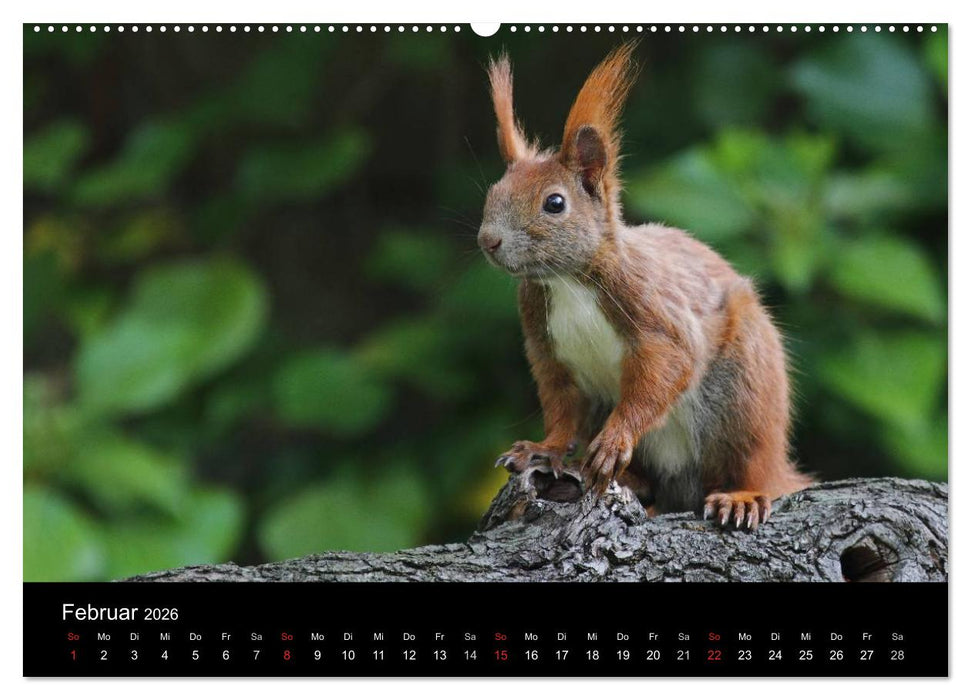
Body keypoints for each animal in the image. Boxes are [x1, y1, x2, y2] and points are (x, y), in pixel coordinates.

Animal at [477, 42, 812, 530]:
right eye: (493, 192)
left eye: (555, 203)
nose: (488, 240)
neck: (567, 282)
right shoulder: (547, 349)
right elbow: (560, 406)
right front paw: (544, 448)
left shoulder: (653, 309)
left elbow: (666, 368)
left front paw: (615, 440)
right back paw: (633, 482)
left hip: (745, 391)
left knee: (751, 462)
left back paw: (741, 495)